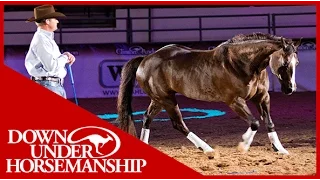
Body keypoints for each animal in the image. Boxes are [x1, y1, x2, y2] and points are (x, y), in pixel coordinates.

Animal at [116, 32, 302, 158]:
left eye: (297, 62)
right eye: (285, 62)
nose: (290, 89)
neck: (243, 63)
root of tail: (145, 59)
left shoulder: (262, 98)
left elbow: (269, 123)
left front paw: (280, 150)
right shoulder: (234, 101)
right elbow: (255, 123)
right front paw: (243, 145)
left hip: (159, 100)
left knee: (147, 118)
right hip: (167, 100)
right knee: (178, 124)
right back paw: (207, 149)